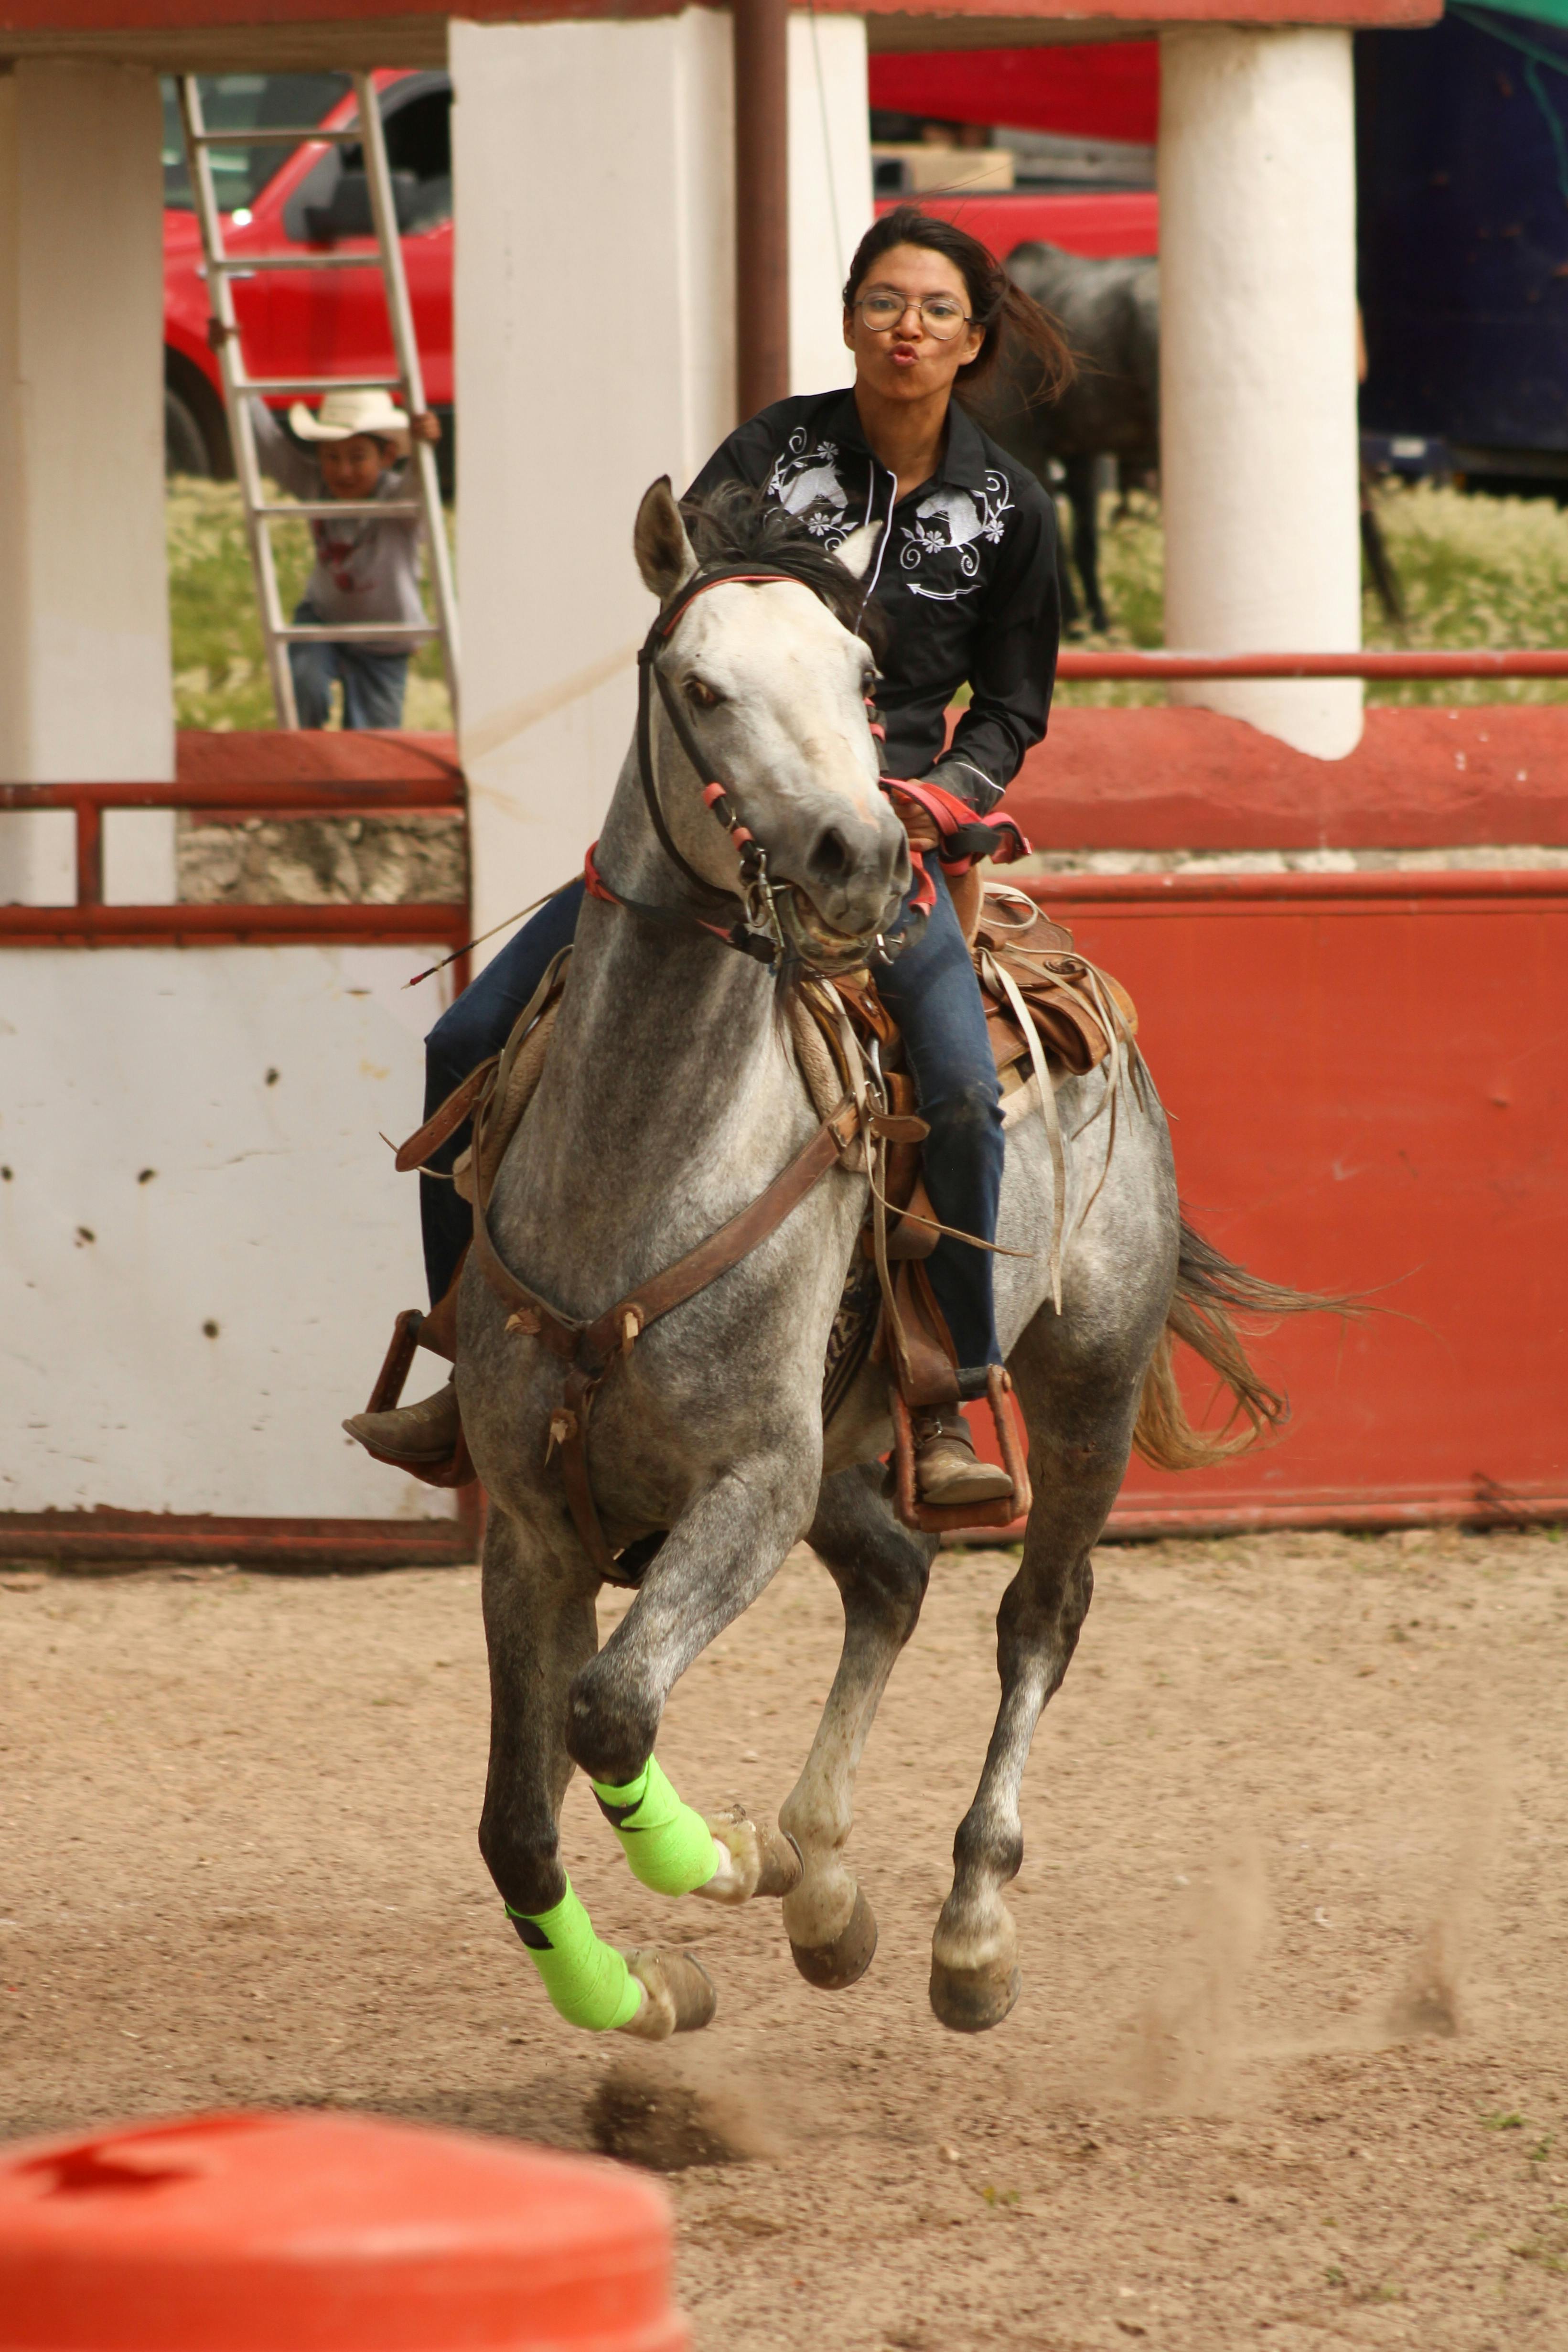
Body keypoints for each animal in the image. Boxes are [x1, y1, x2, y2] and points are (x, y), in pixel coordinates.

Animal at [458, 478, 1316, 2040]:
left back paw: (964, 1927)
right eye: (697, 685)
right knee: (897, 1573)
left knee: (1036, 1617)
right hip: (849, 1435)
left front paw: (713, 1857)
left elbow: (607, 1710)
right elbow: (518, 1823)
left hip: (1083, 1388)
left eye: (861, 679)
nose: (860, 854)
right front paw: (645, 1987)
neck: (640, 1173)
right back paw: (821, 1885)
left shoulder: (751, 1481)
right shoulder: (534, 1522)